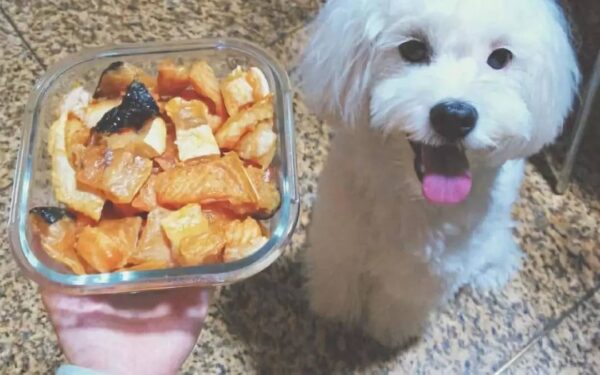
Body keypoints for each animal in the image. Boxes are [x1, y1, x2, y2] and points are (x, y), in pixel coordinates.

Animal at [300, 0, 580, 346]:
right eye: (412, 48)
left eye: (500, 58)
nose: (455, 117)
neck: (410, 196)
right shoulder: (340, 227)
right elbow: (339, 269)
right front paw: (334, 309)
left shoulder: (435, 267)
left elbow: (404, 297)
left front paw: (390, 331)